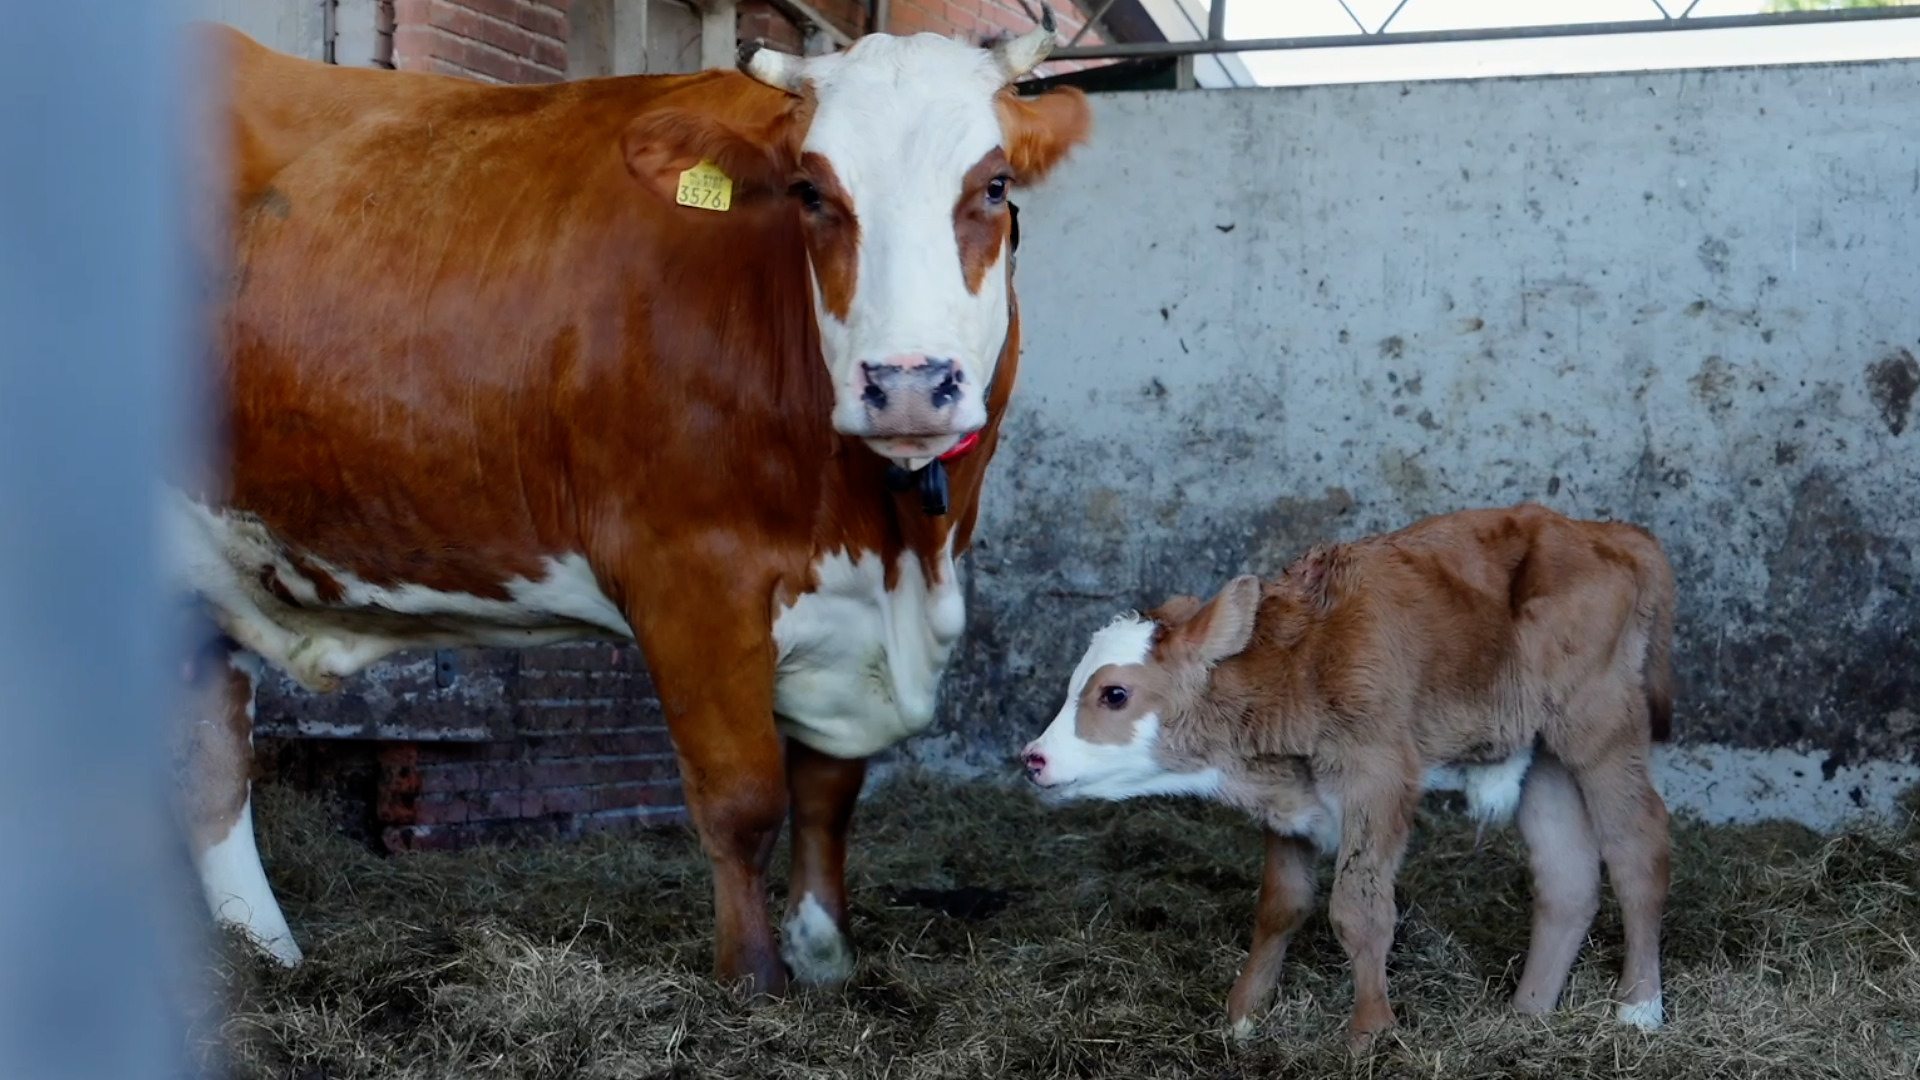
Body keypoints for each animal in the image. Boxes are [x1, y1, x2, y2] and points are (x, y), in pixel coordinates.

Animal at [175, 15, 1089, 994]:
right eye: (811, 191)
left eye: (994, 186)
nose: (909, 385)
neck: (897, 547)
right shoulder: (689, 573)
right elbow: (743, 797)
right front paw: (755, 985)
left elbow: (828, 793)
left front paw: (826, 958)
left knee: (215, 759)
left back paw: (267, 956)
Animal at [1021, 504, 1675, 1043]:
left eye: (1114, 694)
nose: (1034, 757)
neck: (1300, 663)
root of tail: (1608, 533)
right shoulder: (1291, 801)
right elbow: (1280, 904)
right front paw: (1243, 1017)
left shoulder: (1377, 778)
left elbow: (1359, 909)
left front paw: (1369, 1034)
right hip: (1542, 752)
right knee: (1567, 876)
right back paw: (1526, 1015)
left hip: (1599, 722)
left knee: (1637, 847)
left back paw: (1638, 1008)